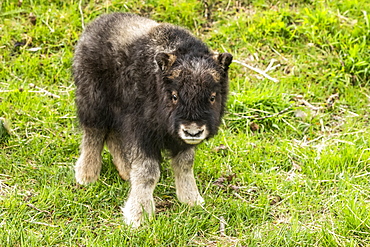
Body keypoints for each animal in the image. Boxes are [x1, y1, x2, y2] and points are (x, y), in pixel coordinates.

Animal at [73, 12, 231, 227]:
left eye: (212, 97)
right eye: (174, 95)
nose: (193, 131)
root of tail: (94, 26)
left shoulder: (180, 141)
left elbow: (185, 164)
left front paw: (192, 200)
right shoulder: (141, 133)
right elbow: (148, 172)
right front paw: (138, 216)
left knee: (112, 136)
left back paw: (125, 171)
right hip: (93, 103)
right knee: (93, 134)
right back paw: (86, 175)